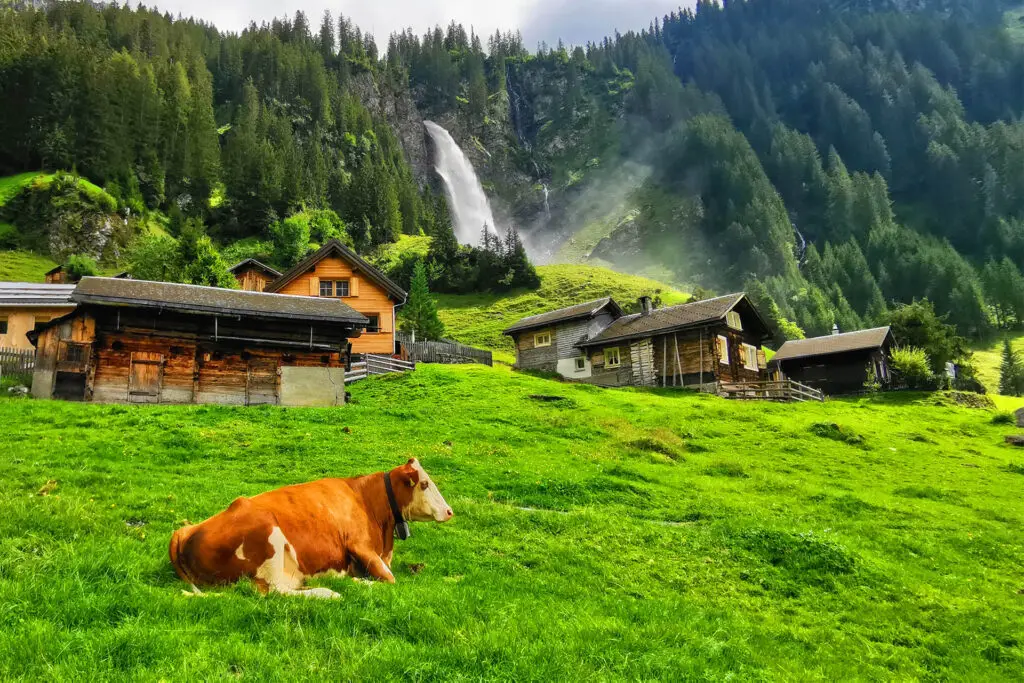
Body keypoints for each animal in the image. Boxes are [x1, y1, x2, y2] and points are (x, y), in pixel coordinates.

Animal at [168, 458, 452, 598]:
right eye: (424, 483)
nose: (450, 511)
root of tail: (184, 531)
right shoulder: (360, 545)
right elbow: (391, 580)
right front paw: (360, 582)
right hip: (268, 537)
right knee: (273, 592)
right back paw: (329, 592)